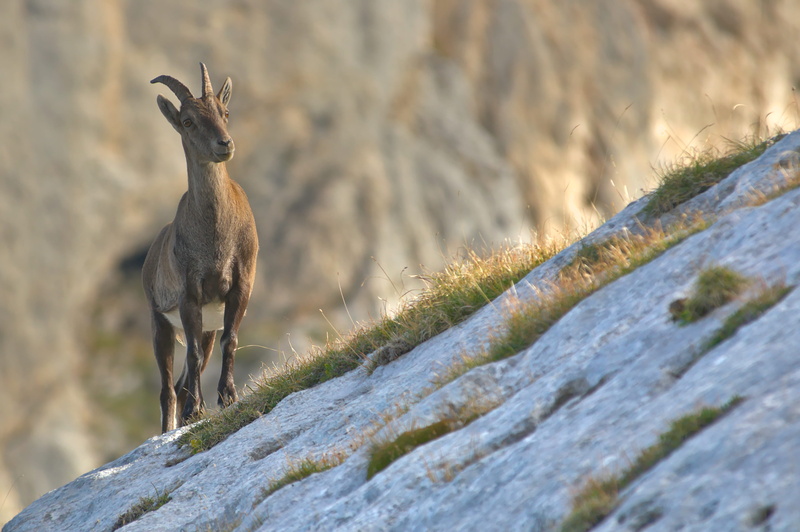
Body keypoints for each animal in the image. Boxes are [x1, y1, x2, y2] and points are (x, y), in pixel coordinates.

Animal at [142, 63, 258, 433]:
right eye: (188, 121)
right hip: (160, 323)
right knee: (167, 389)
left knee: (180, 383)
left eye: (225, 112)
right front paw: (199, 408)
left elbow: (231, 339)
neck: (215, 236)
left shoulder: (240, 285)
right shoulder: (188, 296)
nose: (225, 143)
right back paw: (172, 425)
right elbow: (191, 355)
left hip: (206, 325)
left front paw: (227, 397)